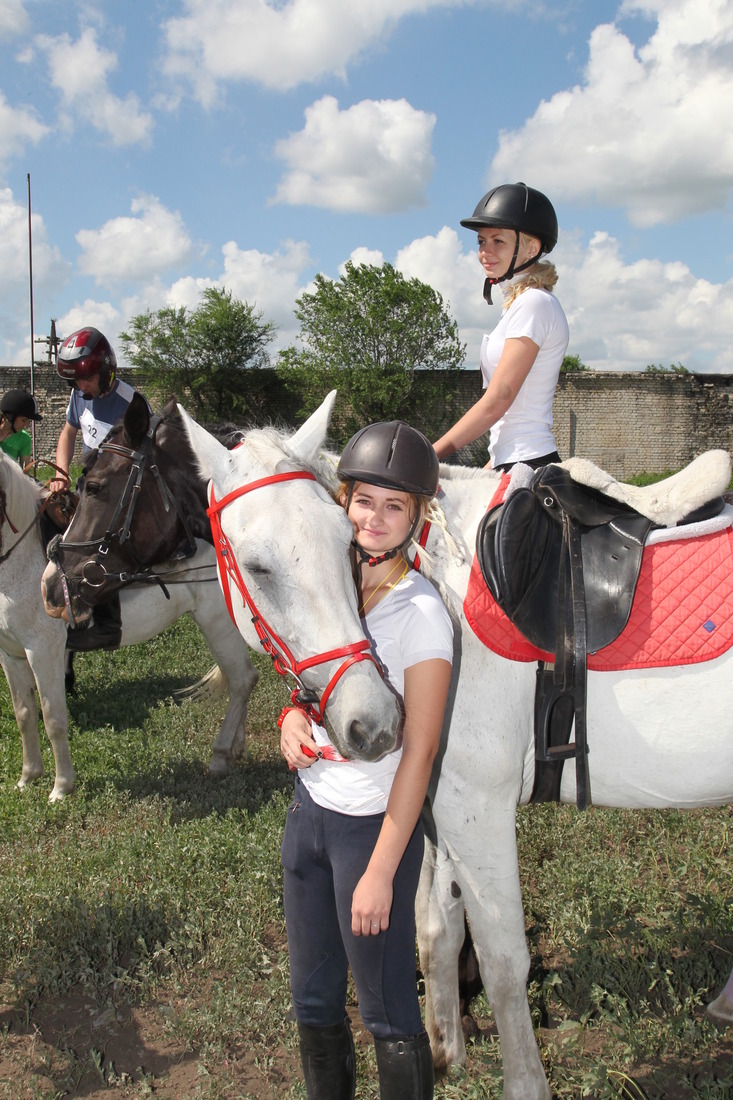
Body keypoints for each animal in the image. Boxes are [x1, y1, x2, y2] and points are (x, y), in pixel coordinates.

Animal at [0, 446, 258, 800]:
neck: (21, 558)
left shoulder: (43, 652)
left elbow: (53, 719)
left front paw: (61, 786)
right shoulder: (11, 655)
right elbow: (24, 714)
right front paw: (28, 776)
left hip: (218, 623)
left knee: (243, 680)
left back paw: (220, 755)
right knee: (239, 681)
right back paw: (236, 748)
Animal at [177, 391, 730, 1095]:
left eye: (344, 544)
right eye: (258, 565)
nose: (373, 723)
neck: (443, 586)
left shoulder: (476, 808)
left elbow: (501, 958)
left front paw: (523, 1084)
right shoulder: (433, 810)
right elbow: (436, 928)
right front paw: (448, 1055)